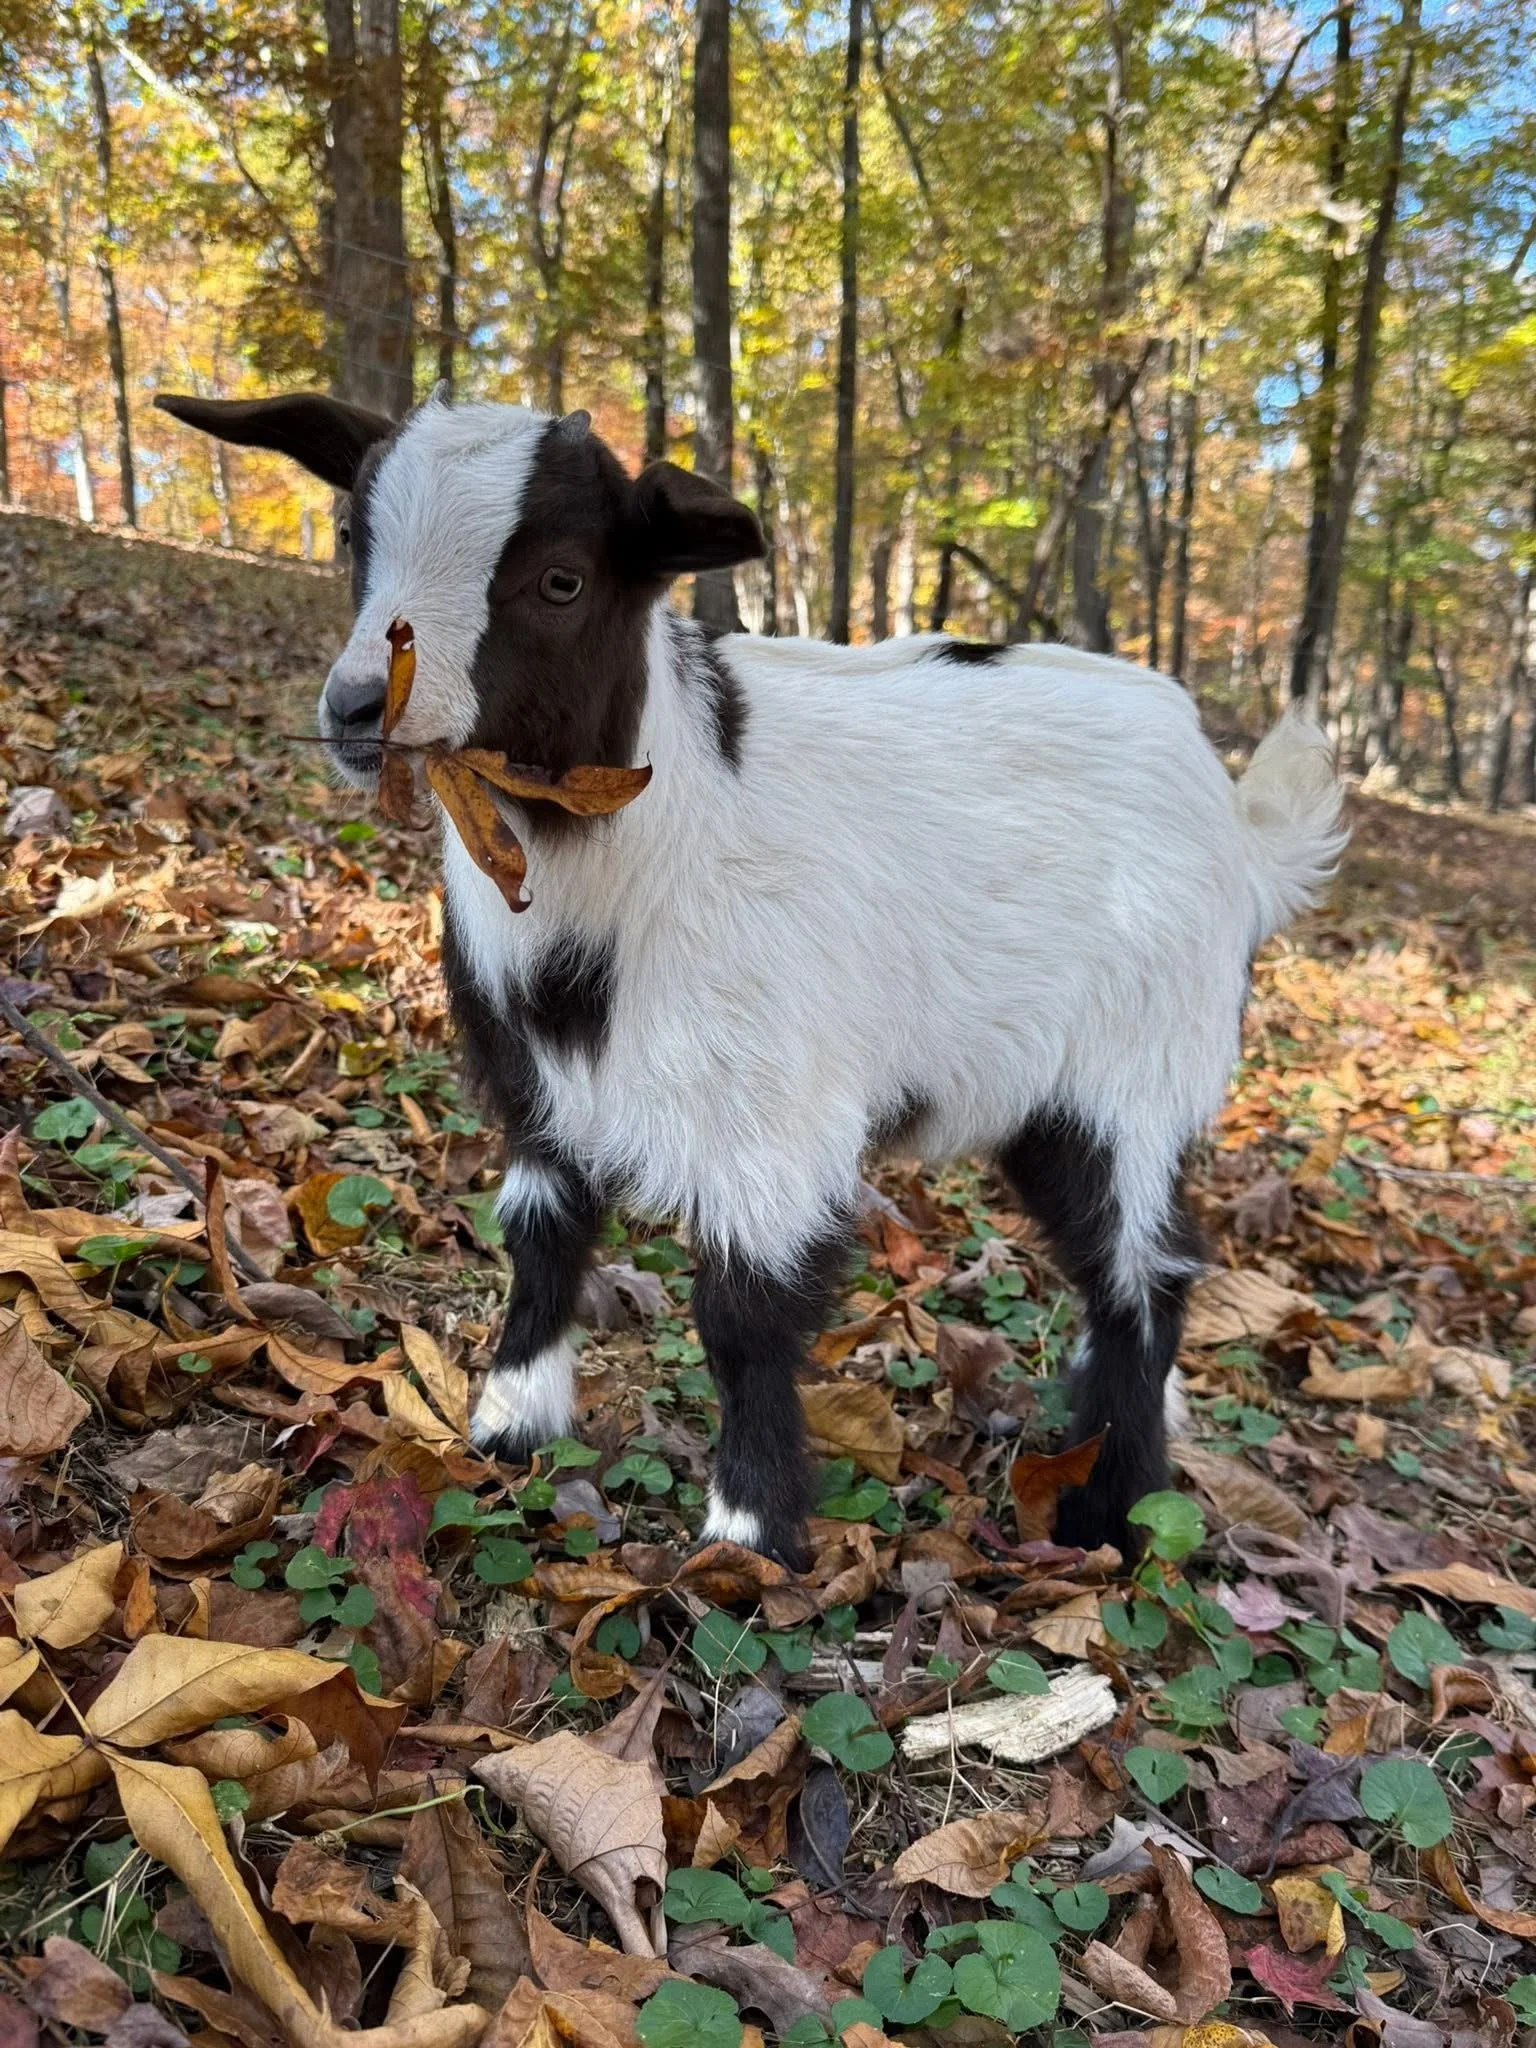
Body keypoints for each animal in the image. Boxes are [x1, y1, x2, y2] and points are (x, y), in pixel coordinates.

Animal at [156, 387, 1345, 1569]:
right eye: (353, 537)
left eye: (561, 579)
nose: (362, 709)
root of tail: (1243, 827)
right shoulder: (537, 1085)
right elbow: (540, 1239)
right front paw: (510, 1425)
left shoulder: (774, 1108)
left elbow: (744, 1314)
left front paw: (746, 1535)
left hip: (1133, 1067)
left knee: (1146, 1268)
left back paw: (1118, 1509)